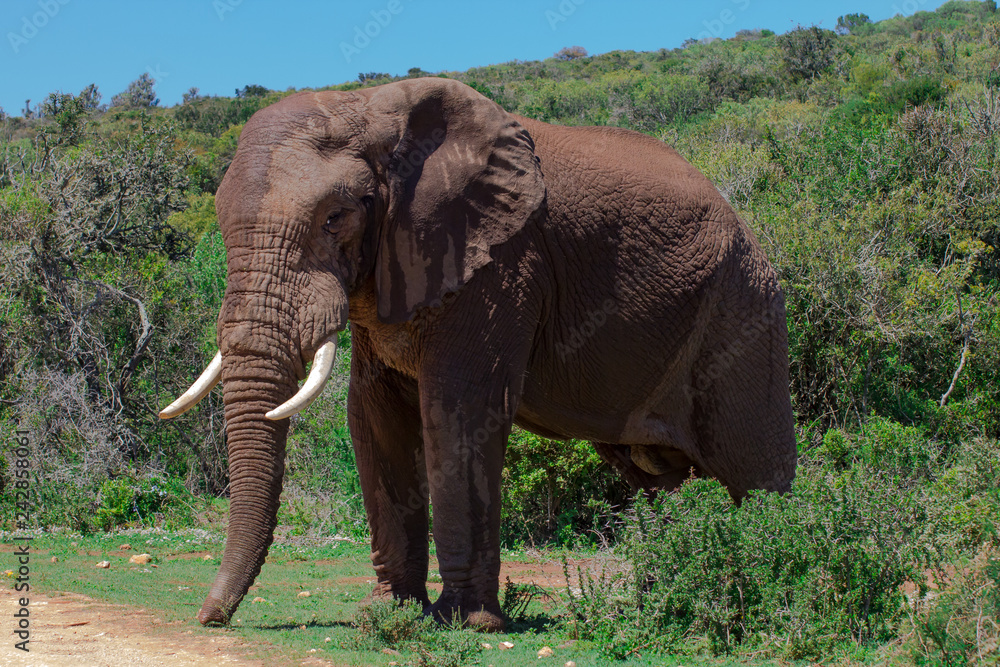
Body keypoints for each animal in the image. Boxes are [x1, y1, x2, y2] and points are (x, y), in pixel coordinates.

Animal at [160, 77, 796, 631]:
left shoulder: (501, 266)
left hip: (744, 317)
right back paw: (660, 589)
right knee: (660, 483)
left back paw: (772, 570)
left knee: (756, 478)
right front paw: (386, 615)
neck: (371, 109)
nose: (210, 618)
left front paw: (467, 623)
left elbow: (459, 408)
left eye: (336, 217)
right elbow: (373, 415)